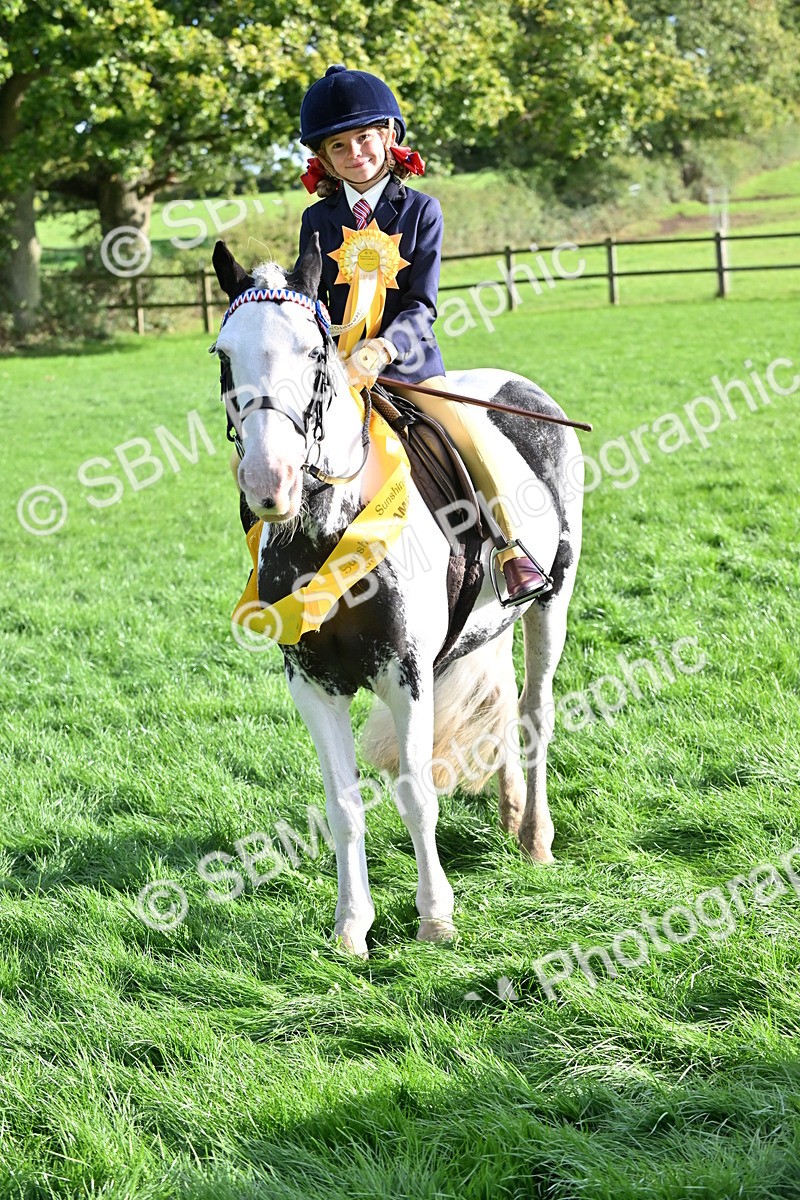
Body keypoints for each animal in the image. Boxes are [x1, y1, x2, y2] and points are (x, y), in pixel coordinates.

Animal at [211, 235, 584, 957]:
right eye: (223, 354)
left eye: (316, 352)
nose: (270, 482)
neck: (326, 532)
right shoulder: (313, 683)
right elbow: (343, 805)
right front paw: (351, 929)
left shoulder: (405, 673)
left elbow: (415, 794)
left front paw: (435, 919)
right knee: (503, 705)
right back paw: (509, 812)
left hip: (551, 602)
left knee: (535, 710)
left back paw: (535, 837)